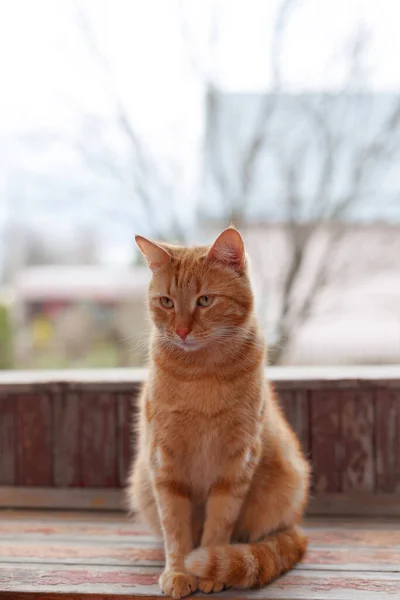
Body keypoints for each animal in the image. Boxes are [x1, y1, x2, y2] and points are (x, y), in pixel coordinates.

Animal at [127, 227, 310, 596]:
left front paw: (210, 569)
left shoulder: (237, 462)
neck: (202, 373)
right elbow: (175, 529)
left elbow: (219, 522)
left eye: (205, 300)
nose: (182, 331)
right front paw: (179, 571)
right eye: (166, 302)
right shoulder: (163, 462)